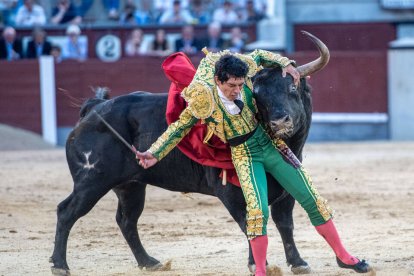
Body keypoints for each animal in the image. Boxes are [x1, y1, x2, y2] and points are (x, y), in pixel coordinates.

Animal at [51, 31, 330, 274]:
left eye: (292, 89)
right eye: (259, 98)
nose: (279, 122)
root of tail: (93, 110)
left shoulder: (286, 191)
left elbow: (285, 224)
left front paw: (298, 262)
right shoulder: (230, 193)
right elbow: (249, 222)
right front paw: (257, 265)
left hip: (131, 185)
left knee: (126, 220)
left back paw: (149, 262)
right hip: (92, 181)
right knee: (67, 212)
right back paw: (60, 265)